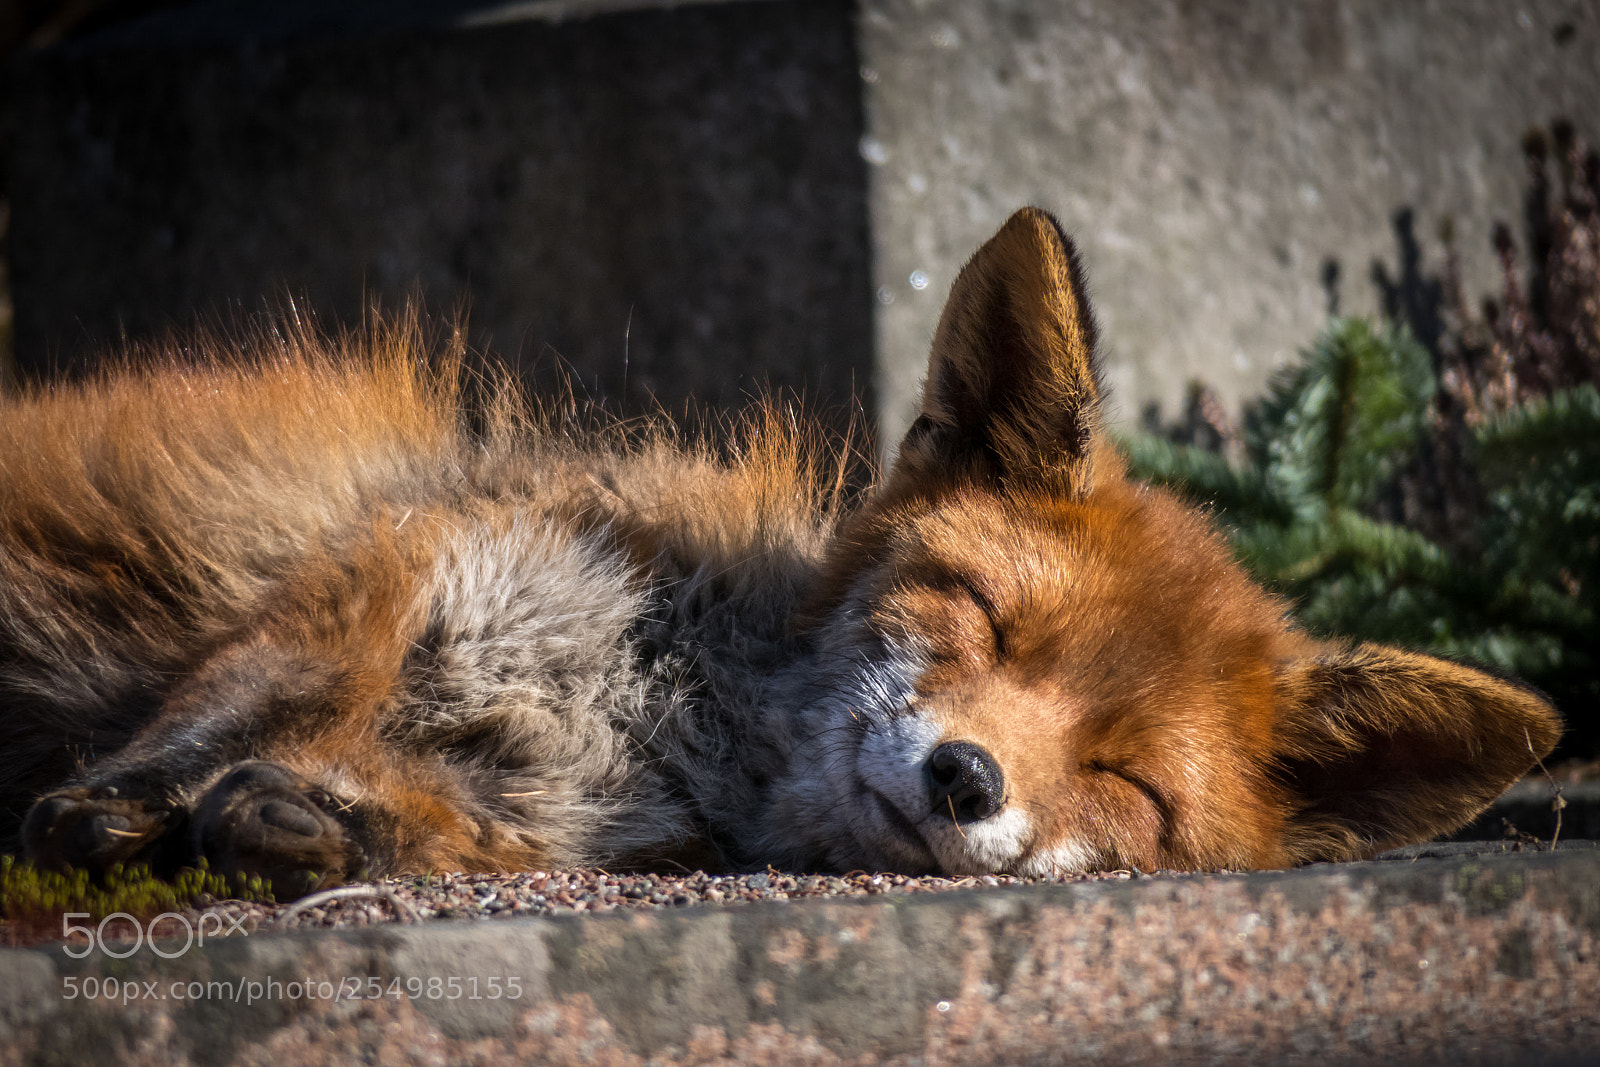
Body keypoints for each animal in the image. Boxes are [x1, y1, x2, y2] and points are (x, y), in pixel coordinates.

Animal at [0, 208, 1561, 899]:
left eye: (1126, 781)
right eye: (985, 619)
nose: (967, 777)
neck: (660, 715)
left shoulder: (569, 815)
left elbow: (422, 823)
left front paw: (306, 824)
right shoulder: (397, 567)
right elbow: (237, 698)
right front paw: (117, 800)